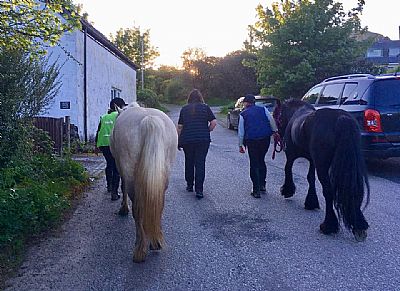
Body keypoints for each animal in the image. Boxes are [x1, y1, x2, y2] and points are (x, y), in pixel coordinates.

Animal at [110, 104, 177, 264]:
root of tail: (149, 120)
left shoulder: (121, 168)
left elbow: (123, 187)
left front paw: (123, 209)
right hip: (163, 175)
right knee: (158, 205)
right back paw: (155, 242)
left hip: (130, 174)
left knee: (138, 210)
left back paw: (140, 250)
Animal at [276, 99, 368, 241]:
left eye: (279, 117)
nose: (279, 136)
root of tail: (341, 118)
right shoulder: (313, 161)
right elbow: (310, 178)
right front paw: (311, 202)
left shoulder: (290, 155)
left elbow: (288, 169)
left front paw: (287, 190)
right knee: (352, 188)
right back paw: (359, 225)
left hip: (323, 166)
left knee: (328, 191)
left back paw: (328, 226)